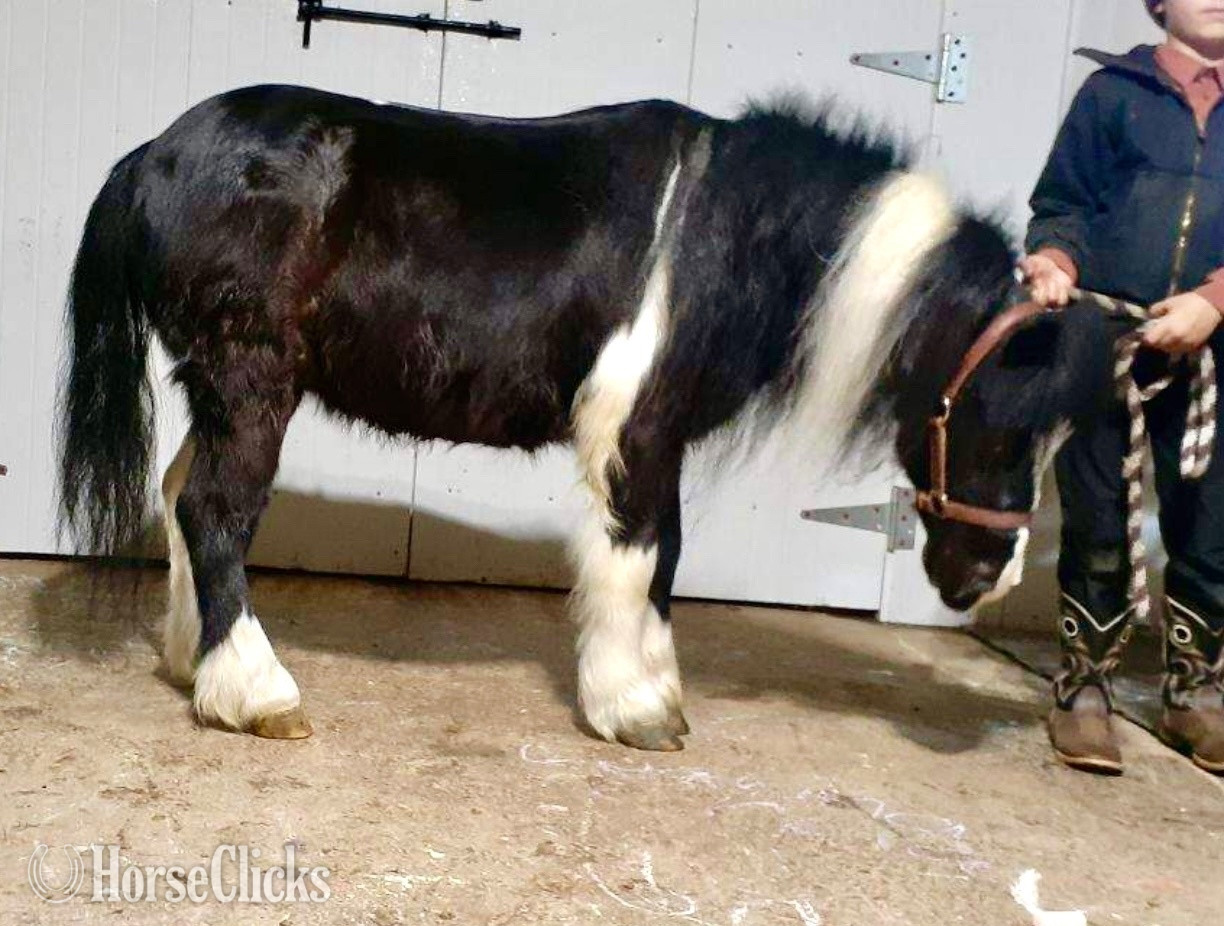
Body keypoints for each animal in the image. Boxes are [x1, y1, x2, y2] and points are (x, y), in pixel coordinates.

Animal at [58, 85, 1110, 750]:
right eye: (1001, 419)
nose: (986, 577)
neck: (722, 236)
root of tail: (155, 155)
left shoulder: (663, 433)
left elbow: (665, 556)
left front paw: (657, 693)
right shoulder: (632, 429)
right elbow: (635, 553)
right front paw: (633, 706)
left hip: (218, 388)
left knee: (182, 495)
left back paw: (192, 665)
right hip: (251, 382)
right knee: (216, 513)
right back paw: (255, 692)